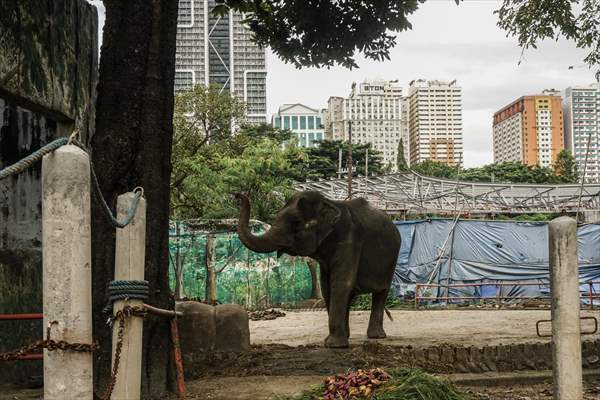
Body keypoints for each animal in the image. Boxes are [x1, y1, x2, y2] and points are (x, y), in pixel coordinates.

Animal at [237, 191, 400, 346]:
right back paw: (349, 335)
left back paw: (376, 336)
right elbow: (327, 286)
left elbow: (341, 282)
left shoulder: (350, 239)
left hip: (391, 260)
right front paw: (334, 341)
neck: (328, 203)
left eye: (296, 222)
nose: (238, 195)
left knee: (381, 293)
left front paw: (334, 345)